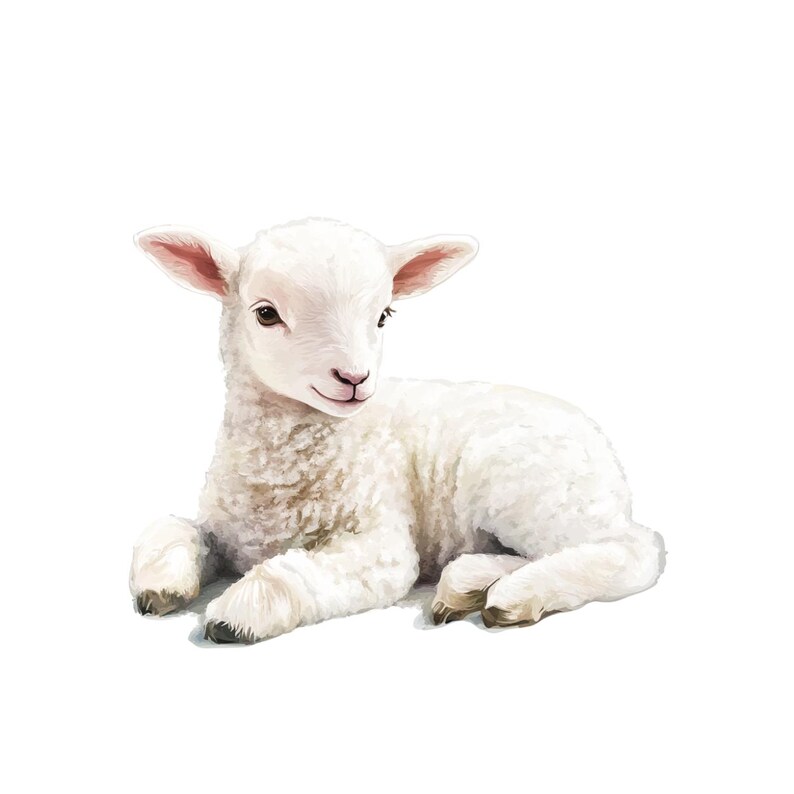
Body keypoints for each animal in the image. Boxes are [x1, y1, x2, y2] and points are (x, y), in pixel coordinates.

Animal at [129, 218, 666, 643]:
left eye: (384, 316)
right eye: (266, 313)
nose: (354, 378)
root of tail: (607, 458)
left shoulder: (381, 543)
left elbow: (296, 572)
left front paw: (238, 614)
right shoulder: (224, 528)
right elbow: (173, 528)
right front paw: (160, 584)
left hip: (528, 486)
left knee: (632, 551)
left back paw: (513, 596)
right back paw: (468, 584)